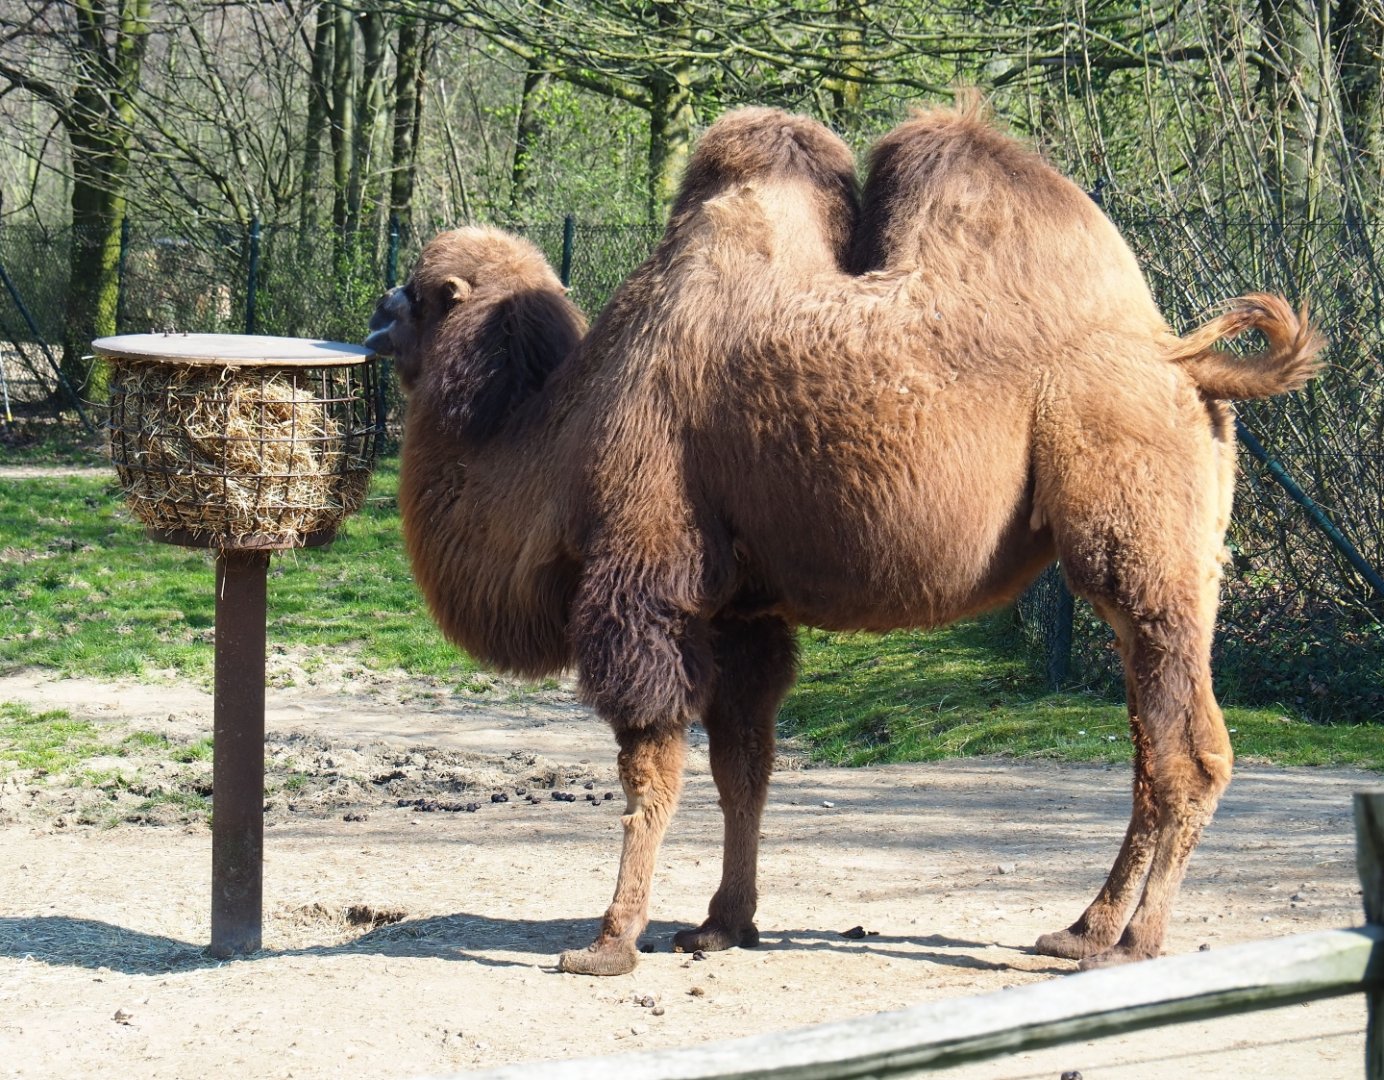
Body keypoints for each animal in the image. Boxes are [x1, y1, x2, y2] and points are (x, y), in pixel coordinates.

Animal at [364, 104, 1323, 977]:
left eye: (418, 293)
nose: (374, 312)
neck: (555, 432)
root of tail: (1187, 366)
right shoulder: (741, 609)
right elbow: (743, 763)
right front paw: (723, 924)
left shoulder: (643, 578)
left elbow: (652, 762)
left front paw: (608, 943)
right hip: (1161, 560)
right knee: (1153, 743)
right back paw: (1082, 929)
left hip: (1134, 535)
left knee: (1186, 752)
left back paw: (1133, 943)